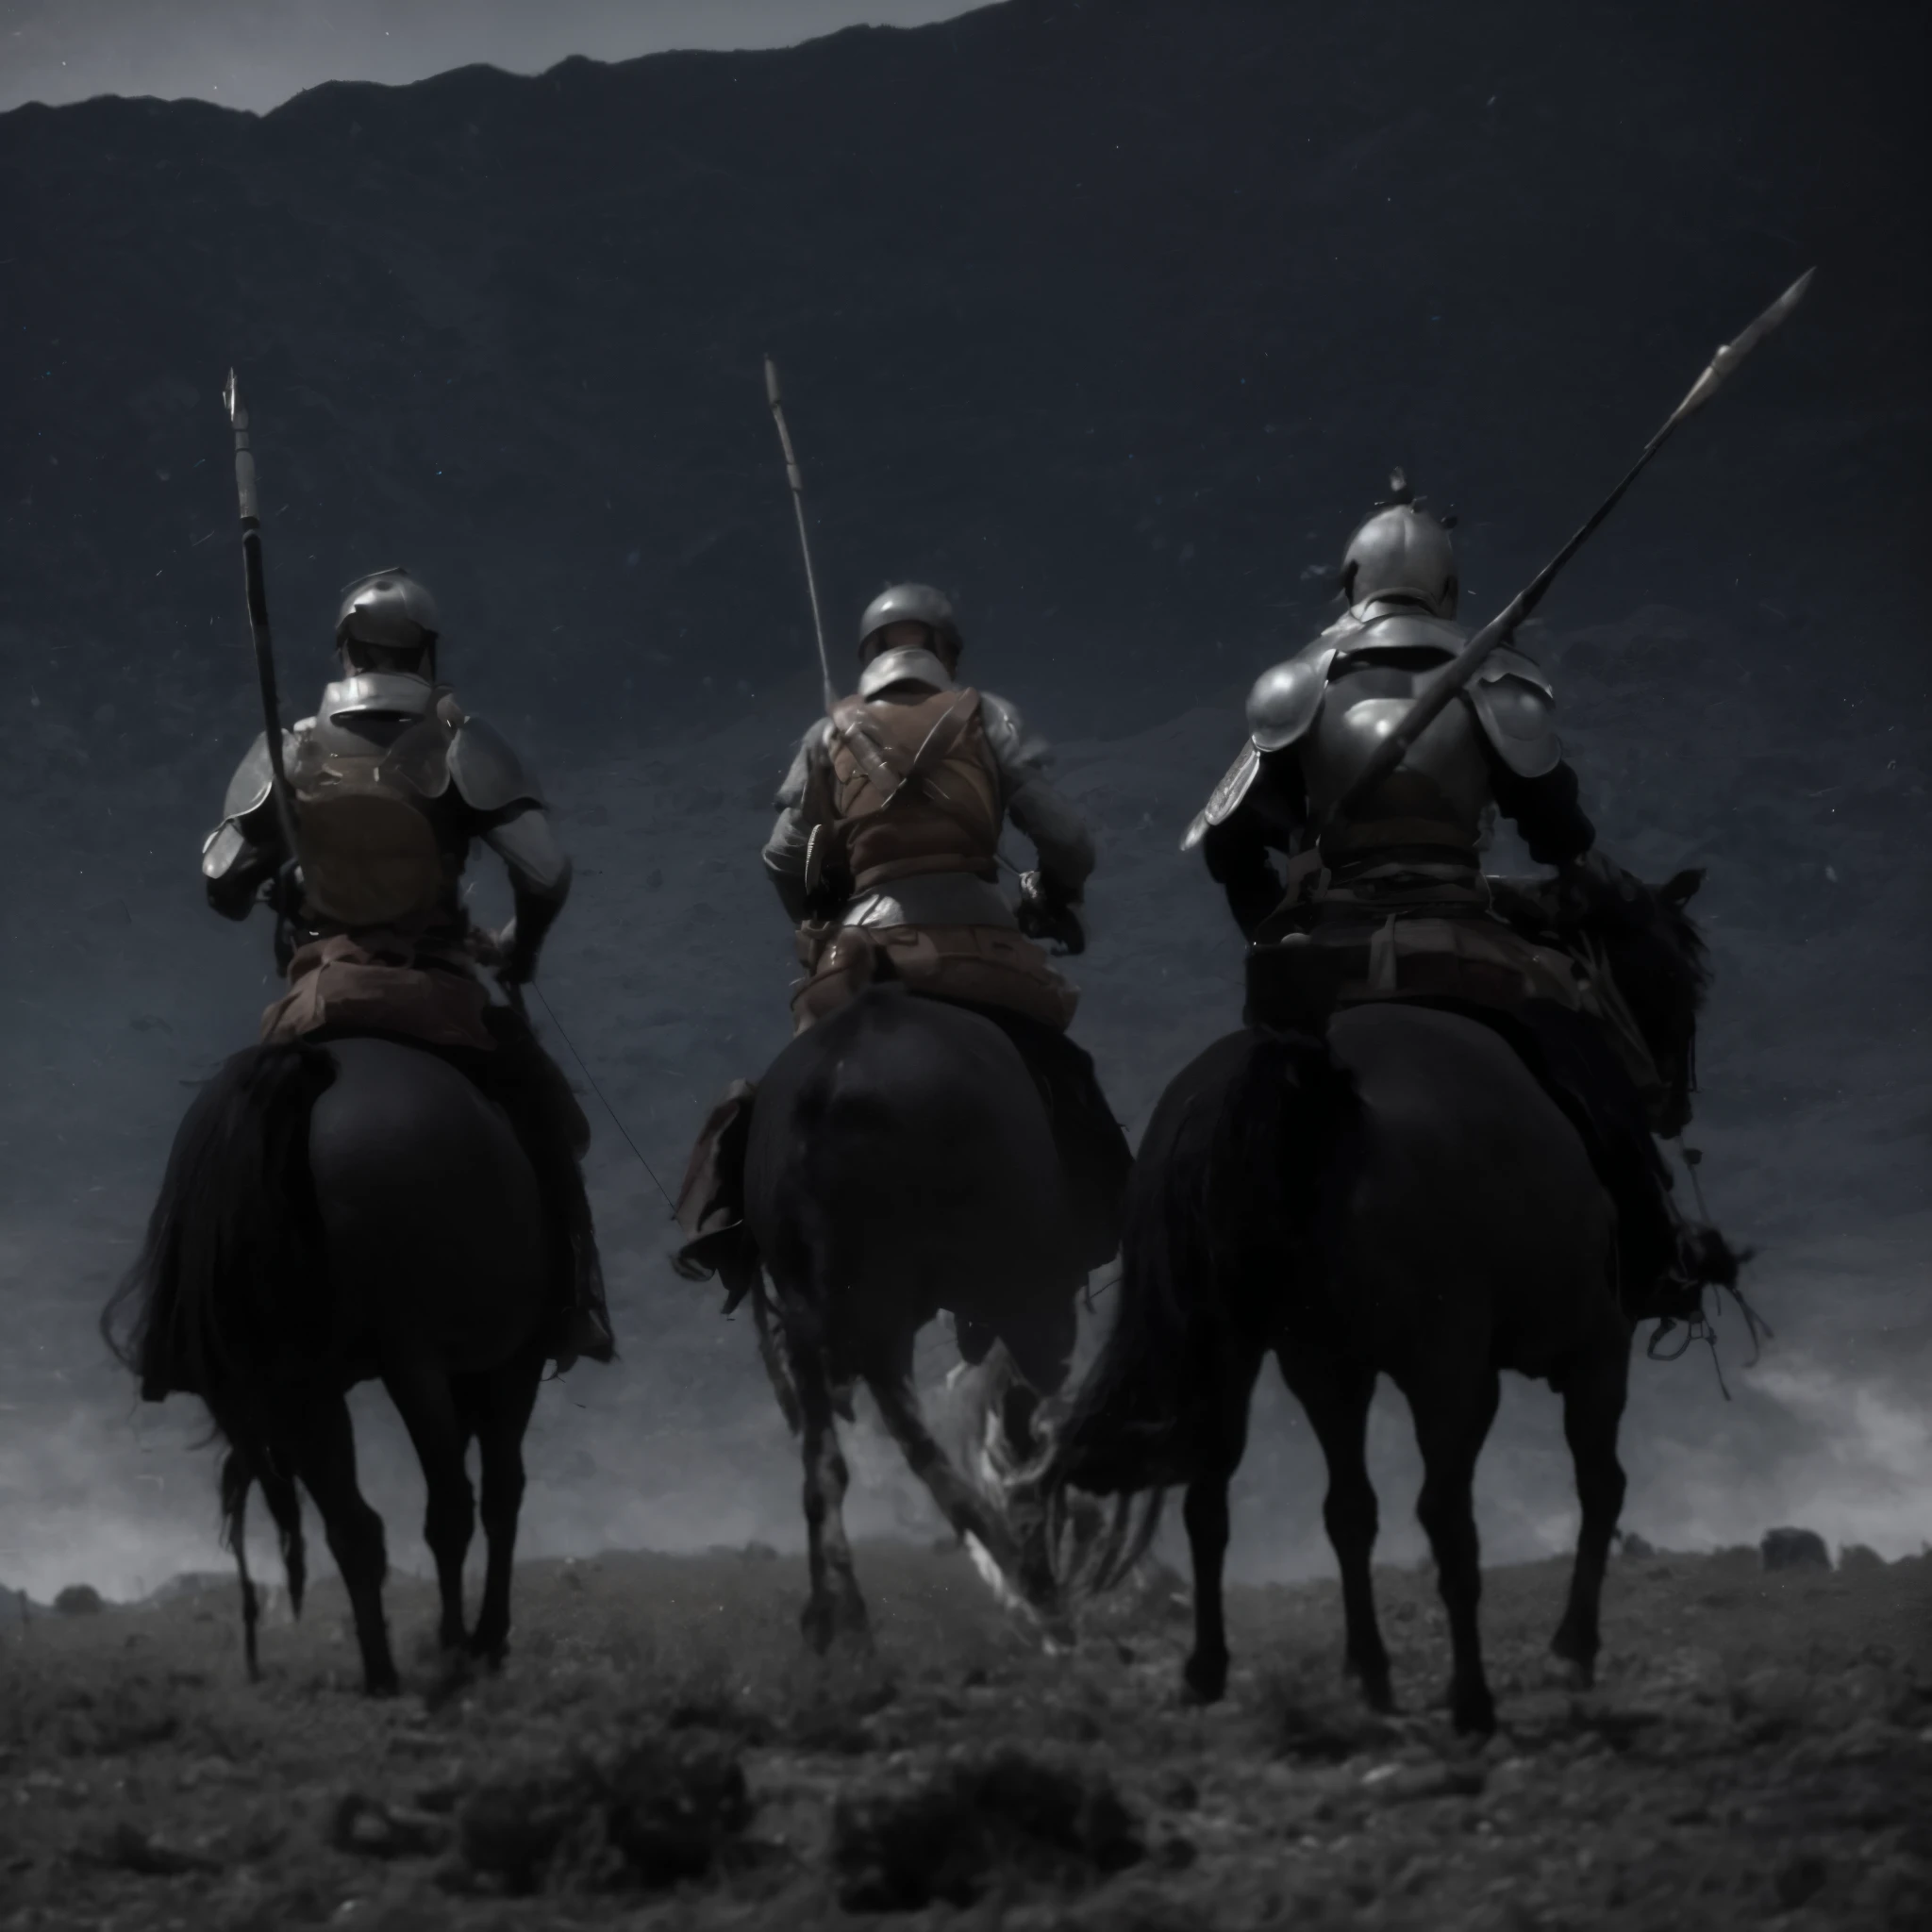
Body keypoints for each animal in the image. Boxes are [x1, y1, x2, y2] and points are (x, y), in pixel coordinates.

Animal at [106, 1042, 556, 1692]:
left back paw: (384, 1675)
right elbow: (503, 1494)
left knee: (355, 1527)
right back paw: (454, 1648)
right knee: (451, 1505)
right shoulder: (514, 1358)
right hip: (414, 1362)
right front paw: (490, 1636)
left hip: (300, 1389)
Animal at [741, 989, 1128, 1654]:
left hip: (820, 1306)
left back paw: (837, 1605)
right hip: (906, 1301)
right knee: (913, 1431)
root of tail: (827, 1091)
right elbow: (1026, 1429)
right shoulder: (1036, 1304)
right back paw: (1021, 1576)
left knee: (831, 1453)